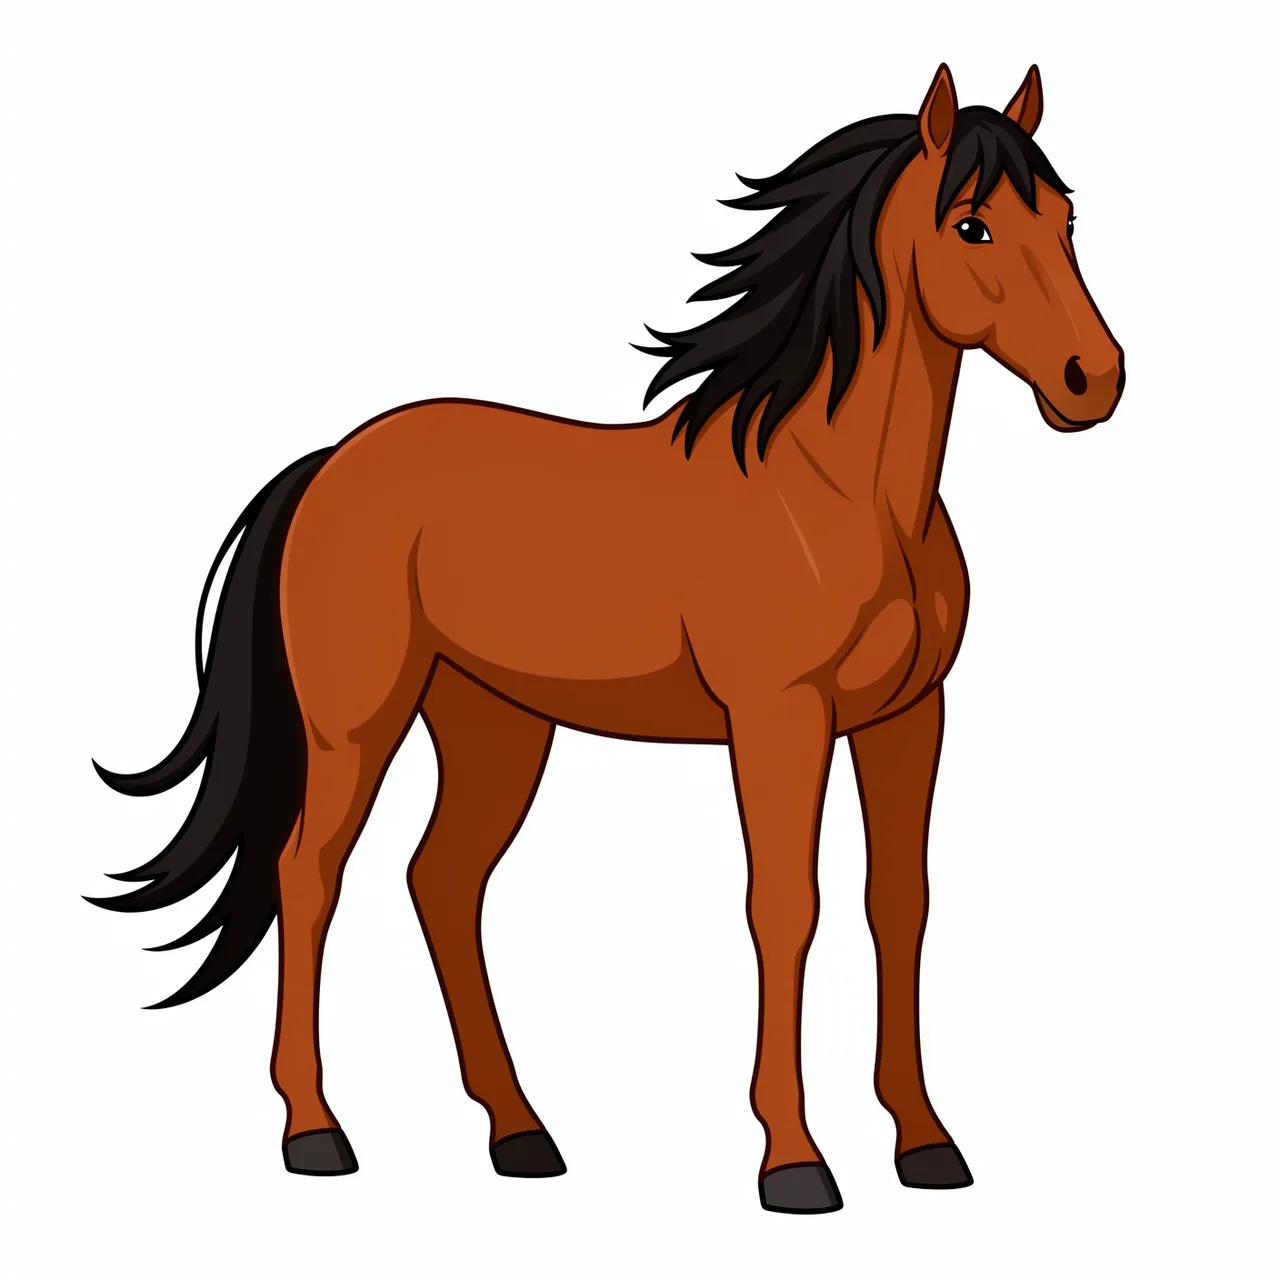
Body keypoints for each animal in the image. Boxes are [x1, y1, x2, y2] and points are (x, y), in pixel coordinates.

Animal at [91, 63, 1124, 1213]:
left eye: (1065, 219)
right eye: (971, 224)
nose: (1093, 379)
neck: (838, 493)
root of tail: (331, 463)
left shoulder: (909, 719)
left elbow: (897, 904)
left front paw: (925, 1143)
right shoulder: (779, 719)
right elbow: (785, 907)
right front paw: (793, 1158)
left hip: (494, 726)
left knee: (441, 883)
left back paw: (518, 1131)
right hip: (355, 727)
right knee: (308, 875)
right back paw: (315, 1129)